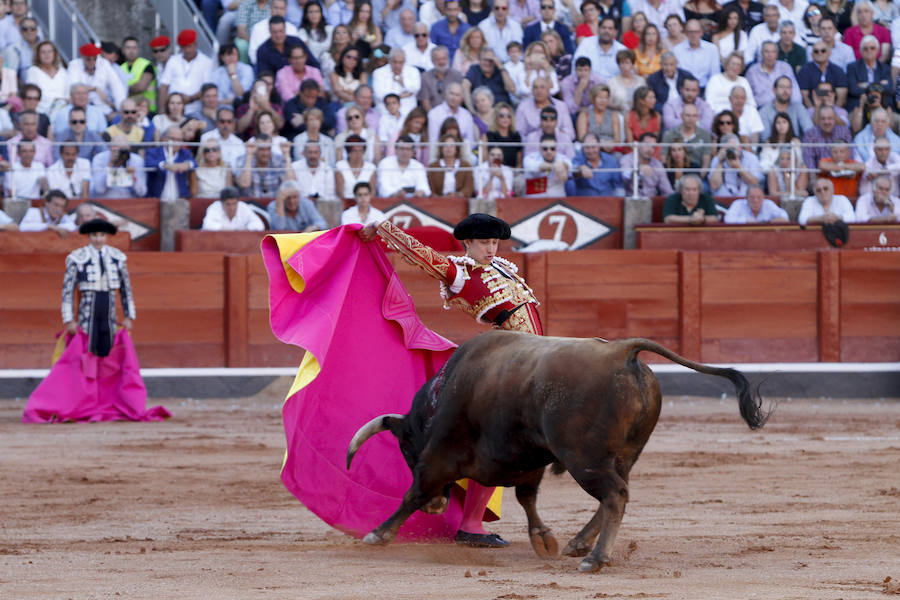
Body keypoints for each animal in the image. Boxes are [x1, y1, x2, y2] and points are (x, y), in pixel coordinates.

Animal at [348, 332, 768, 572]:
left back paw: (595, 558)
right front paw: (544, 539)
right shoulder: (527, 456)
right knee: (618, 492)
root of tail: (623, 351)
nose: (439, 507)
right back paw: (578, 544)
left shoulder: (440, 455)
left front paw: (377, 535)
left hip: (584, 457)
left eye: (406, 447)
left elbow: (414, 491)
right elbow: (527, 497)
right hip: (620, 455)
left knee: (614, 494)